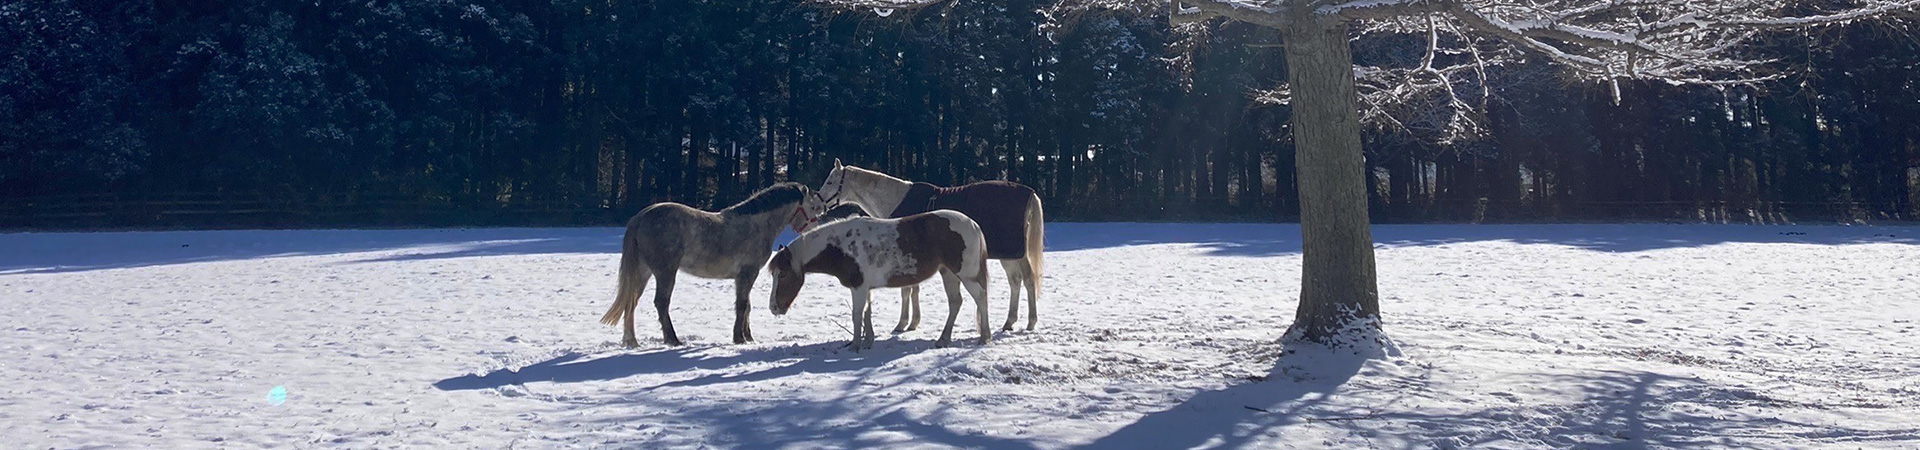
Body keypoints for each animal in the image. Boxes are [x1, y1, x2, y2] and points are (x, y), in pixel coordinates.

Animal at [599, 182, 833, 348]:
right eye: (813, 207)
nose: (815, 229)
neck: (756, 224)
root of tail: (640, 218)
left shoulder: (744, 277)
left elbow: (746, 305)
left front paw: (748, 337)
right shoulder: (747, 274)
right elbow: (742, 305)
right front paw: (739, 338)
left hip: (644, 272)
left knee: (631, 302)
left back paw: (632, 341)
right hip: (665, 272)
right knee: (661, 303)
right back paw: (672, 339)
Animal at [768, 209, 998, 350]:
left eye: (784, 274)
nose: (773, 308)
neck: (840, 247)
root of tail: (973, 224)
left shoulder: (858, 287)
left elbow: (857, 315)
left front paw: (855, 345)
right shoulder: (865, 288)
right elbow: (867, 314)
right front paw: (868, 341)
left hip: (965, 275)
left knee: (980, 297)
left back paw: (984, 337)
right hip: (948, 273)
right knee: (955, 302)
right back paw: (943, 339)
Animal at [814, 161, 1052, 334]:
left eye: (830, 181)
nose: (816, 206)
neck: (896, 199)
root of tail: (1030, 194)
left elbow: (907, 290)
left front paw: (902, 323)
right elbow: (913, 289)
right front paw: (913, 322)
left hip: (1015, 254)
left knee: (1028, 280)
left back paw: (1030, 322)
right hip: (1008, 255)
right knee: (1015, 281)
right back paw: (1009, 321)